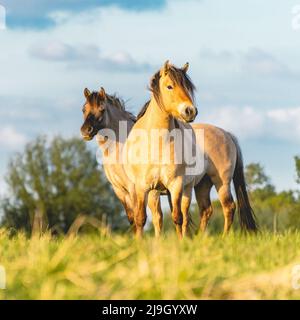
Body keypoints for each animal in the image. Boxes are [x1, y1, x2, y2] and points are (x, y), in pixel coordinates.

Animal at [122, 60, 204, 238]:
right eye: (169, 86)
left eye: (187, 86)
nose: (190, 111)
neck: (158, 143)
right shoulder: (142, 187)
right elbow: (141, 219)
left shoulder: (176, 185)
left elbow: (178, 218)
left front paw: (181, 242)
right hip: (154, 193)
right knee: (157, 218)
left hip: (186, 189)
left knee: (184, 216)